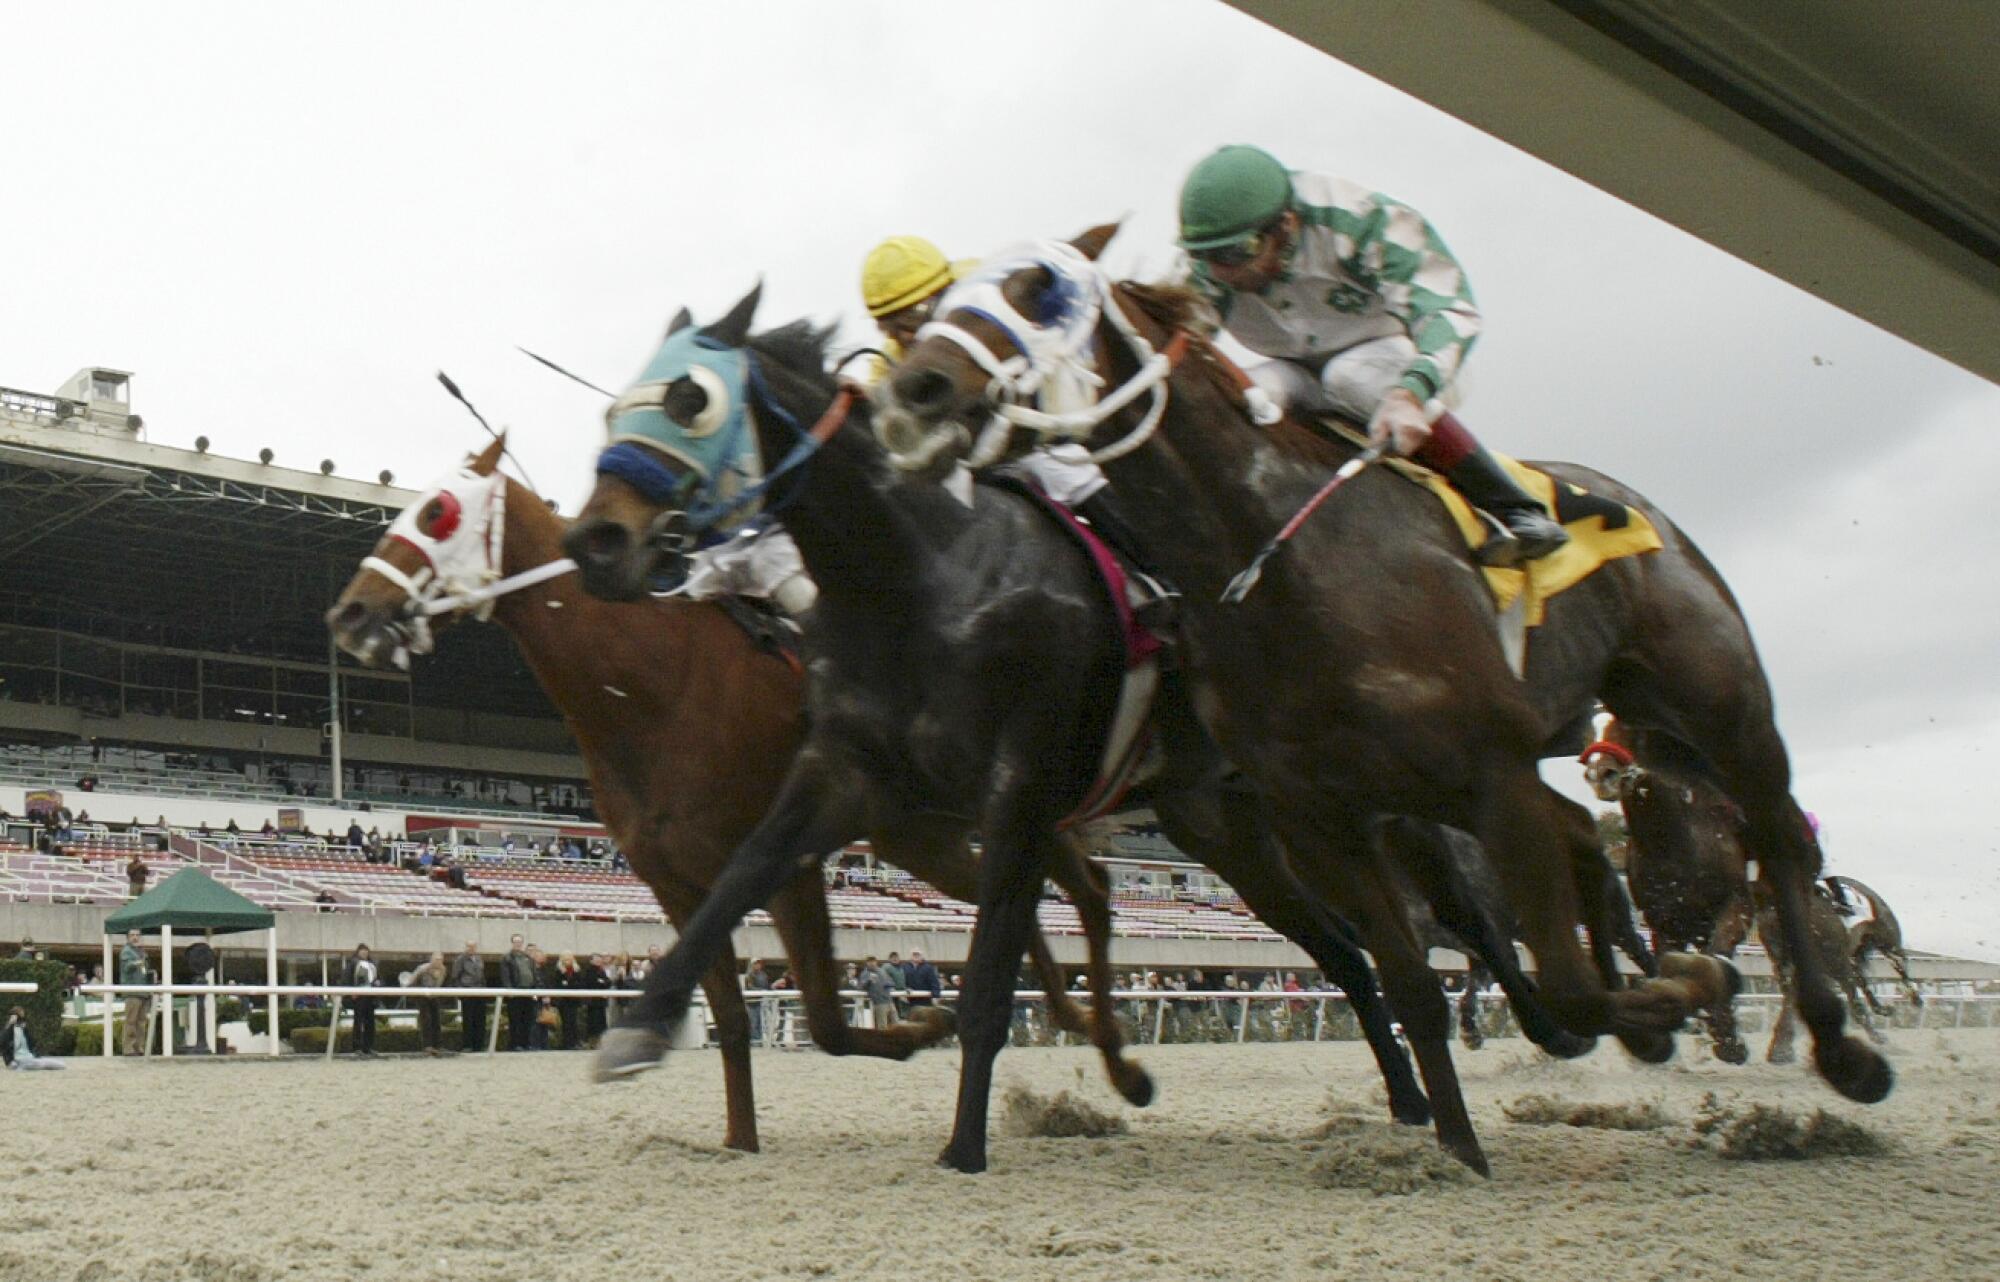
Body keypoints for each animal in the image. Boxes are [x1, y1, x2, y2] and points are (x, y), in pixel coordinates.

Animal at [320, 432, 1120, 1152]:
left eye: (437, 512)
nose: (347, 613)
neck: (656, 686)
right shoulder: (676, 882)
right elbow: (734, 1018)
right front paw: (741, 1138)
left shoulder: (787, 865)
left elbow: (827, 1022)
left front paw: (929, 1024)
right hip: (920, 833)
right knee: (1028, 887)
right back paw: (1084, 1027)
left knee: (1064, 875)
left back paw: (1092, 1030)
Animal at [564, 288, 1456, 1168]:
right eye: (612, 411)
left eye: (691, 400)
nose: (595, 540)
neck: (917, 572)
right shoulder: (843, 770)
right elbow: (742, 877)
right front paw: (640, 1028)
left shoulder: (1019, 787)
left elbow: (991, 974)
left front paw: (965, 1146)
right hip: (1221, 825)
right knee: (1341, 951)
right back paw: (1405, 1103)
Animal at [872, 228, 1888, 1112]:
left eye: (1036, 293)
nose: (918, 389)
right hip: (1247, 820)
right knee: (1512, 879)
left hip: (1706, 699)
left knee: (1761, 841)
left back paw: (1813, 1038)